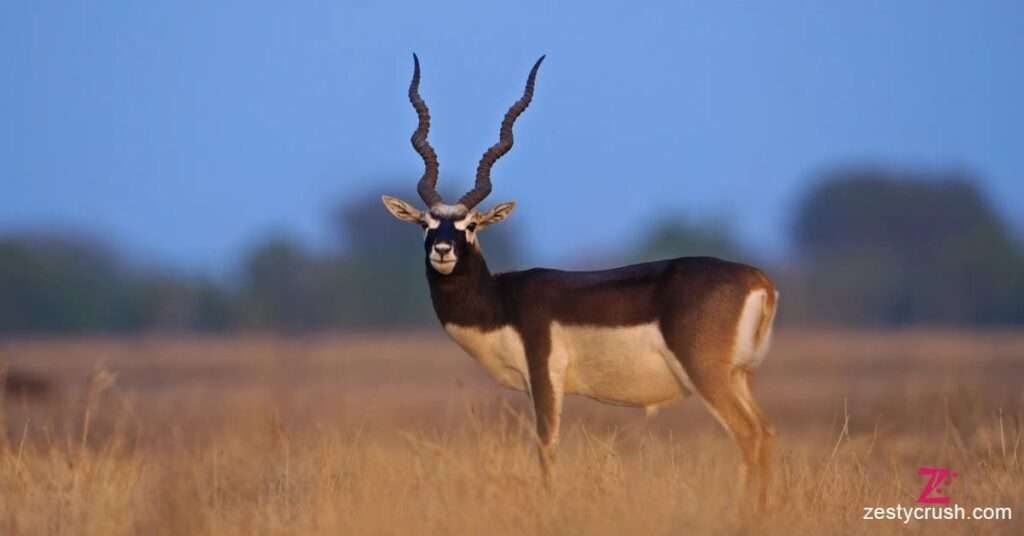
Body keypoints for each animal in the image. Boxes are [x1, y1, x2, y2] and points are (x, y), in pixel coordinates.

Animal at [382, 55, 774, 508]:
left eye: (471, 225)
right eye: (427, 224)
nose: (443, 251)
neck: (501, 301)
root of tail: (758, 280)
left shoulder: (544, 376)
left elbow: (545, 446)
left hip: (708, 374)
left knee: (749, 434)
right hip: (740, 376)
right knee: (765, 432)